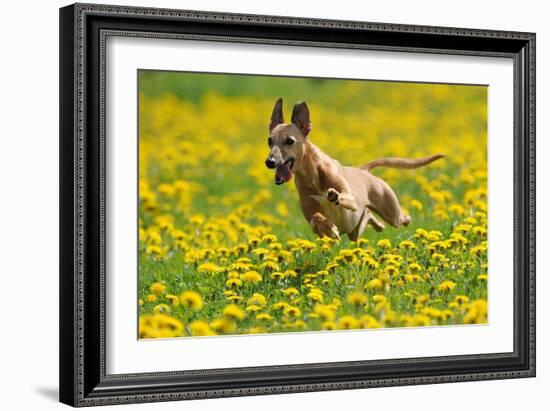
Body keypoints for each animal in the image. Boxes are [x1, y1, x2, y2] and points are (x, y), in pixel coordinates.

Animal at [266, 98, 446, 241]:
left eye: (290, 141)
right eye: (269, 140)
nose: (269, 162)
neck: (312, 175)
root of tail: (364, 170)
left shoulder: (351, 199)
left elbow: (343, 197)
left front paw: (334, 196)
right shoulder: (311, 216)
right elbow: (316, 218)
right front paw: (329, 228)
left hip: (392, 214)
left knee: (403, 218)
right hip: (355, 231)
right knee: (369, 218)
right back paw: (377, 224)